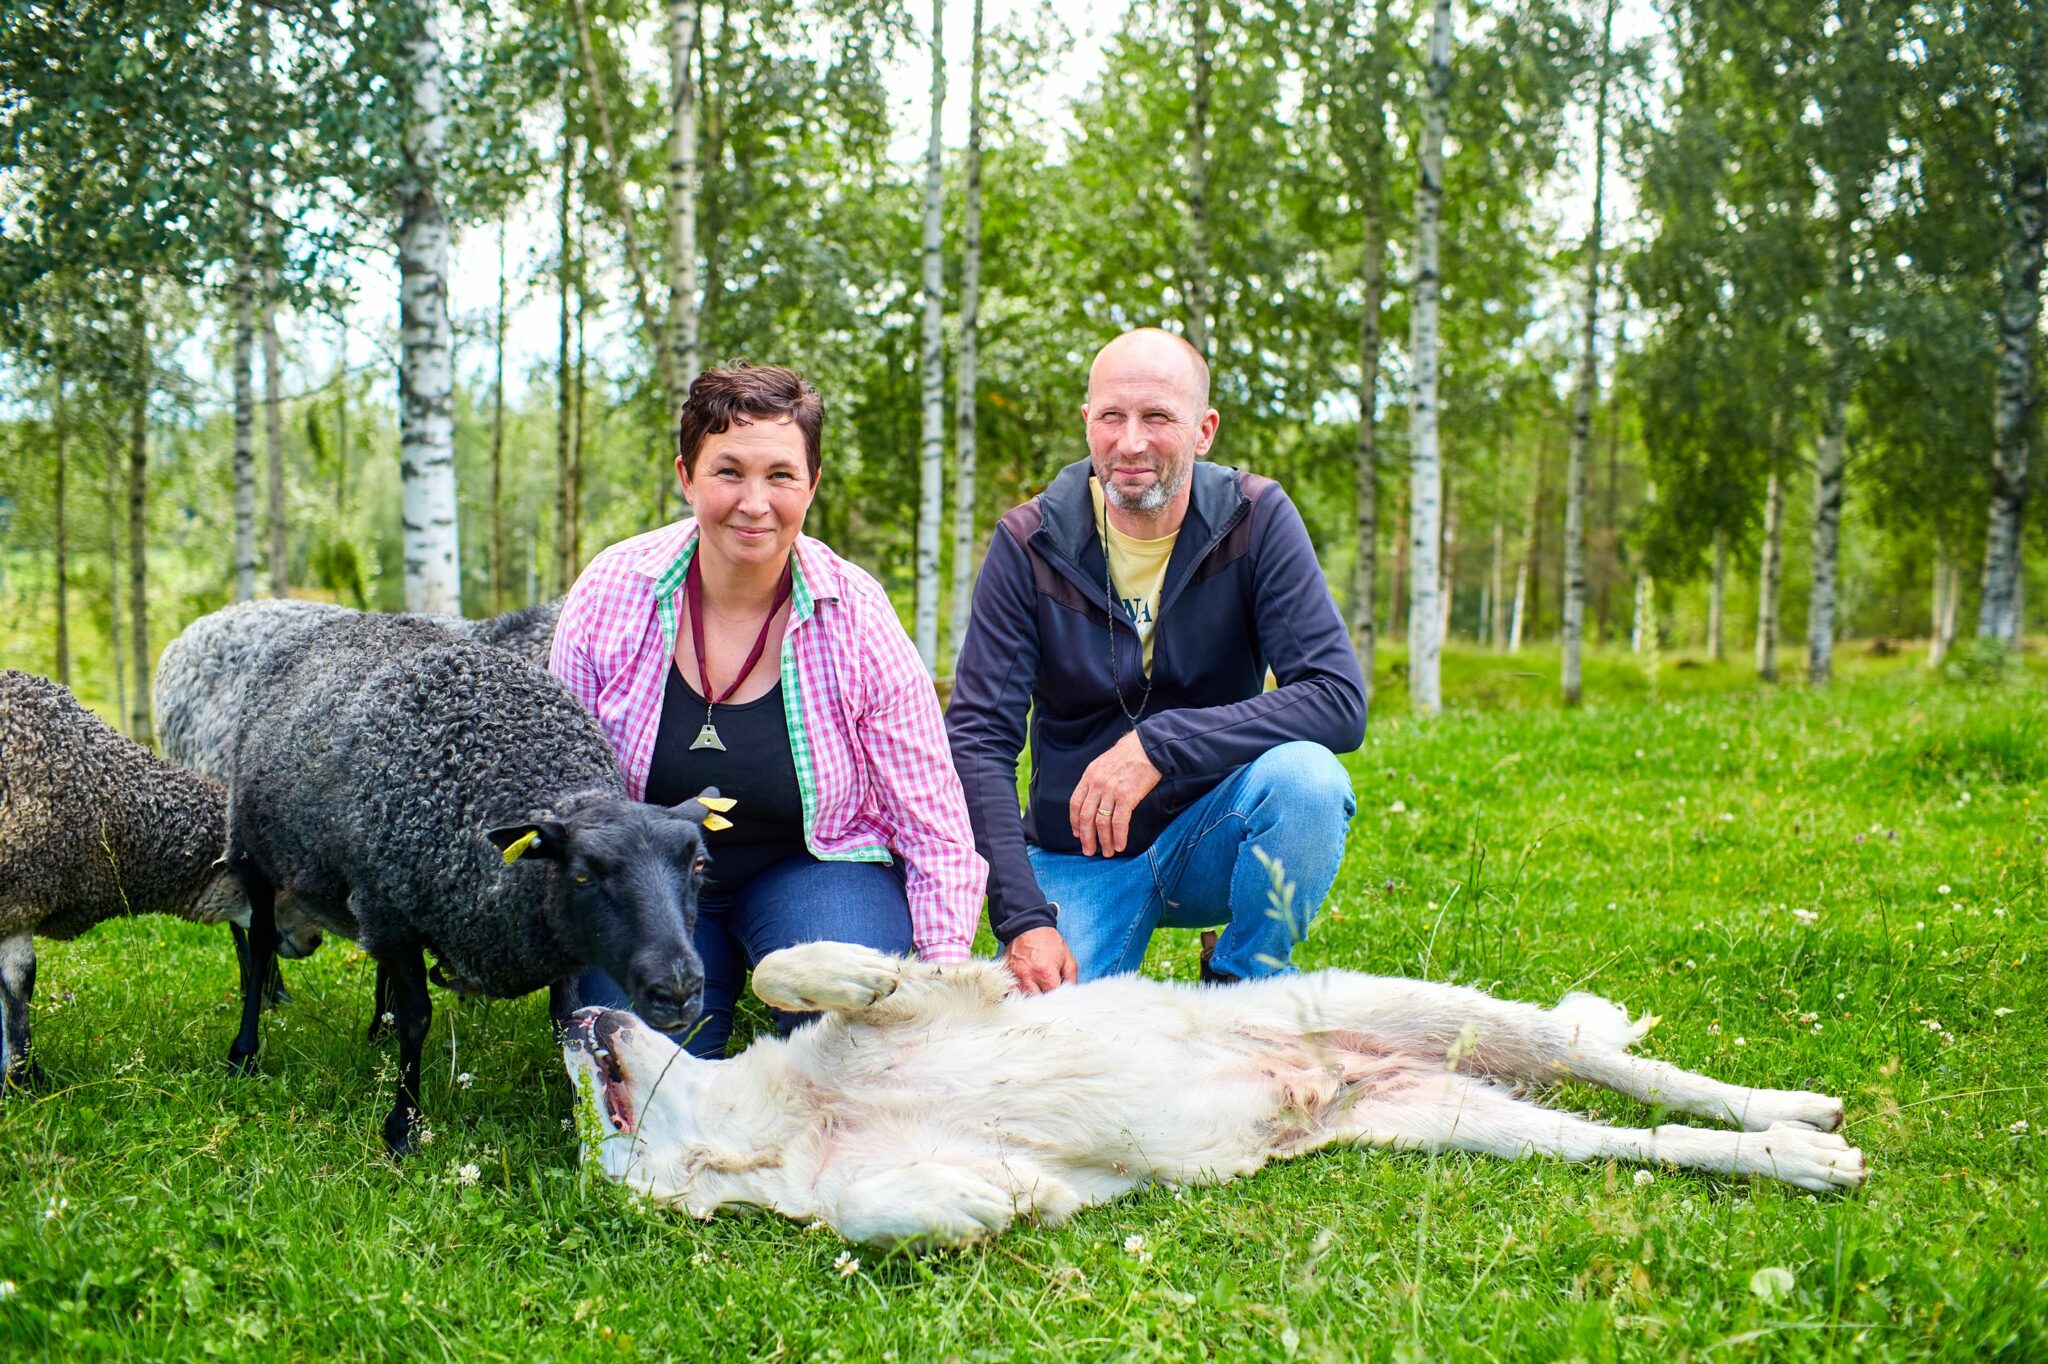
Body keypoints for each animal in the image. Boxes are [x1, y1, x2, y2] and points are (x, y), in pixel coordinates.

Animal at [226, 610, 712, 1155]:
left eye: (698, 865)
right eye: (583, 874)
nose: (677, 992)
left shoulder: (558, 938)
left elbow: (566, 1021)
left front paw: (578, 1119)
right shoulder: (394, 912)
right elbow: (417, 1019)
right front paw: (403, 1128)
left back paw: (376, 1032)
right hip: (253, 848)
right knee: (260, 940)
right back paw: (244, 1053)